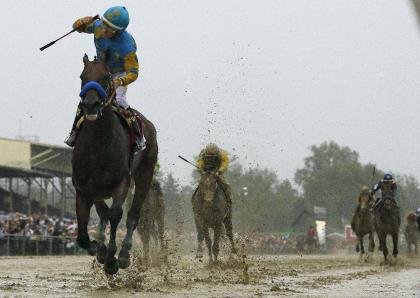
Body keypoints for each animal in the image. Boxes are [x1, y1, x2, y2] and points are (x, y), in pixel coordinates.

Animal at [72, 54, 158, 274]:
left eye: (106, 76)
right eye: (82, 76)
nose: (91, 104)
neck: (99, 148)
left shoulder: (122, 184)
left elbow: (116, 215)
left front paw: (112, 260)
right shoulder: (83, 189)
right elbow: (83, 234)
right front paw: (97, 248)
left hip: (145, 174)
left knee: (133, 215)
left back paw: (124, 253)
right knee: (103, 214)